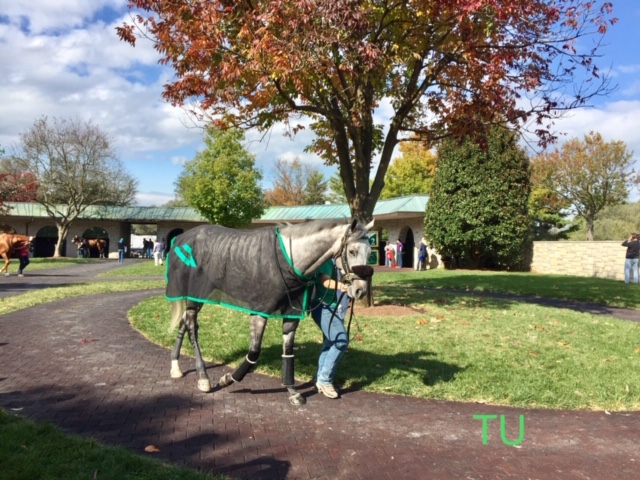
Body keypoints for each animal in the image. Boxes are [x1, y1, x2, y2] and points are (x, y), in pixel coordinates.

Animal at [166, 218, 376, 404]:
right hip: (195, 295)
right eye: (352, 251)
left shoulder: (292, 312)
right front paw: (228, 379)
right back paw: (203, 377)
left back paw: (175, 366)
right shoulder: (260, 311)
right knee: (192, 327)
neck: (290, 259)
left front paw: (292, 392)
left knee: (185, 322)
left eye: (369, 253)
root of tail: (182, 238)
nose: (360, 290)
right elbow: (254, 352)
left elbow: (288, 352)